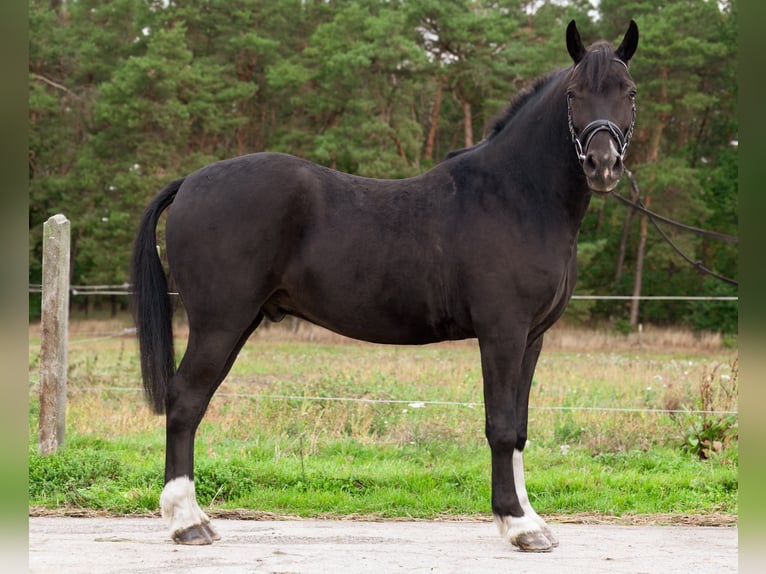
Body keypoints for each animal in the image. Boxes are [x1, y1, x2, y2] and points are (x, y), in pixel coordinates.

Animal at [131, 19, 638, 552]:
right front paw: (517, 524)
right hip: (219, 323)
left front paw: (530, 521)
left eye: (629, 91)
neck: (515, 197)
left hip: (240, 322)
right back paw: (187, 522)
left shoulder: (531, 338)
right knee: (185, 401)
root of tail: (190, 182)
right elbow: (500, 427)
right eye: (574, 94)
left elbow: (518, 428)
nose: (603, 165)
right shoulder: (502, 333)